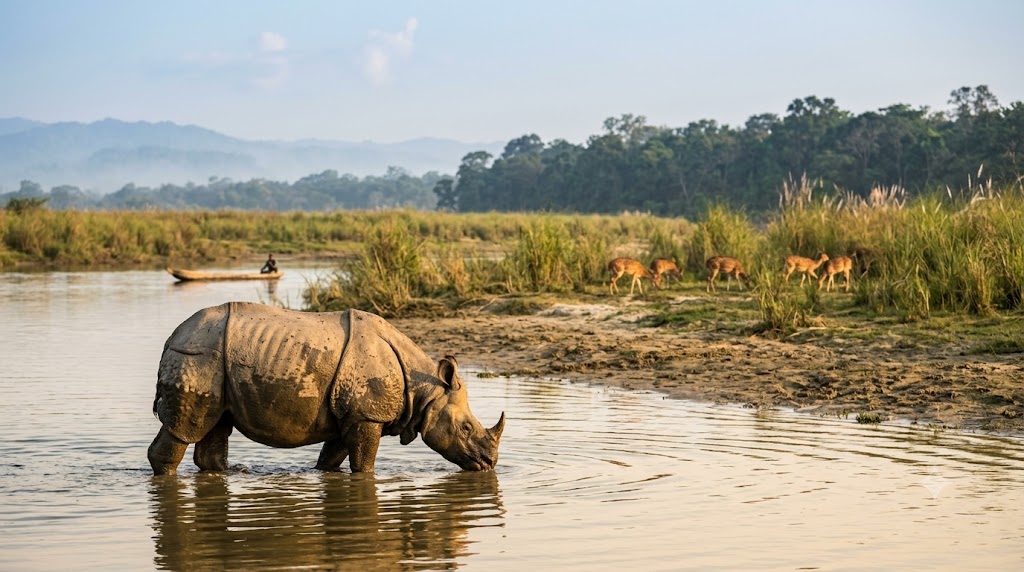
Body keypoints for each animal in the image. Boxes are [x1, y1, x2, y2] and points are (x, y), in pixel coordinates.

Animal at [148, 302, 505, 475]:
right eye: (466, 427)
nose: (490, 462)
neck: (425, 388)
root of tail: (171, 337)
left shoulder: (351, 414)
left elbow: (332, 458)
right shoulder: (367, 416)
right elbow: (364, 465)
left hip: (212, 360)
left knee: (217, 424)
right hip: (199, 356)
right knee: (185, 429)